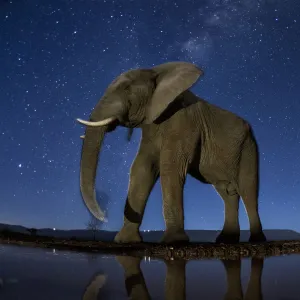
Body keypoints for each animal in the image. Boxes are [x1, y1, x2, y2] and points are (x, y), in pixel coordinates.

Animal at [77, 60, 268, 244]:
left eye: (126, 88)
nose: (104, 217)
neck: (157, 71)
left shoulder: (184, 120)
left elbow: (170, 168)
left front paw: (174, 241)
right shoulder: (152, 124)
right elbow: (142, 168)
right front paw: (125, 241)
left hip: (249, 149)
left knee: (248, 191)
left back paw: (256, 240)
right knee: (228, 193)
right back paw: (226, 240)